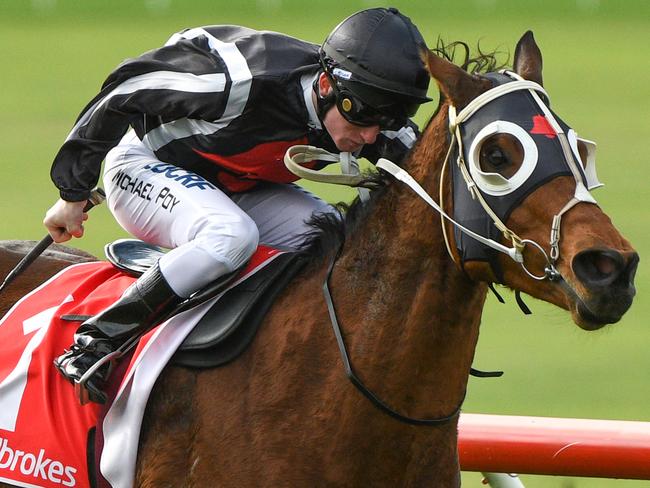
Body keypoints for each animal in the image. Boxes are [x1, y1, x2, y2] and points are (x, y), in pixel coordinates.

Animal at [0, 32, 636, 486]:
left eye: (577, 147)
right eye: (498, 155)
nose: (610, 268)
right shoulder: (239, 80)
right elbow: (132, 85)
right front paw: (68, 201)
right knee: (225, 236)